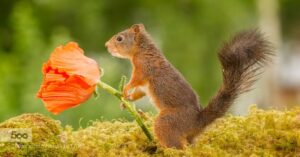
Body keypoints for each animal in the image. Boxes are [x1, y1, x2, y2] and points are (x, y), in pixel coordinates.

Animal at [105, 23, 272, 148]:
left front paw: (125, 89)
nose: (106, 46)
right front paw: (126, 100)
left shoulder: (143, 69)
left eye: (119, 38)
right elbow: (139, 92)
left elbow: (134, 81)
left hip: (167, 122)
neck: (142, 50)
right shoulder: (144, 85)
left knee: (178, 146)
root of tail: (197, 122)